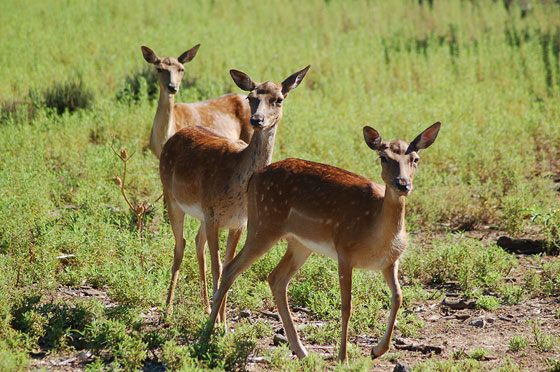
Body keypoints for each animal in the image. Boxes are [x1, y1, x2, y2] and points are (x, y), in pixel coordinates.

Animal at [159, 64, 310, 320]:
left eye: (279, 99)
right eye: (251, 97)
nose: (257, 120)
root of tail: (172, 138)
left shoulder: (238, 222)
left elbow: (228, 265)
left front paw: (223, 321)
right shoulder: (213, 215)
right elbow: (219, 266)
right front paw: (219, 322)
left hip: (201, 213)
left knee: (197, 242)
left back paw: (204, 305)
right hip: (171, 195)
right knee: (180, 244)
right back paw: (167, 309)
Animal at [203, 122, 440, 360]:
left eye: (415, 159)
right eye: (383, 157)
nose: (403, 184)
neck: (376, 234)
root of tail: (253, 176)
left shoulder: (390, 261)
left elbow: (398, 297)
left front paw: (377, 350)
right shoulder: (344, 250)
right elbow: (347, 305)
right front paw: (343, 357)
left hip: (299, 243)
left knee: (276, 278)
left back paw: (301, 350)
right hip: (263, 224)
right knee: (231, 268)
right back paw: (207, 335)